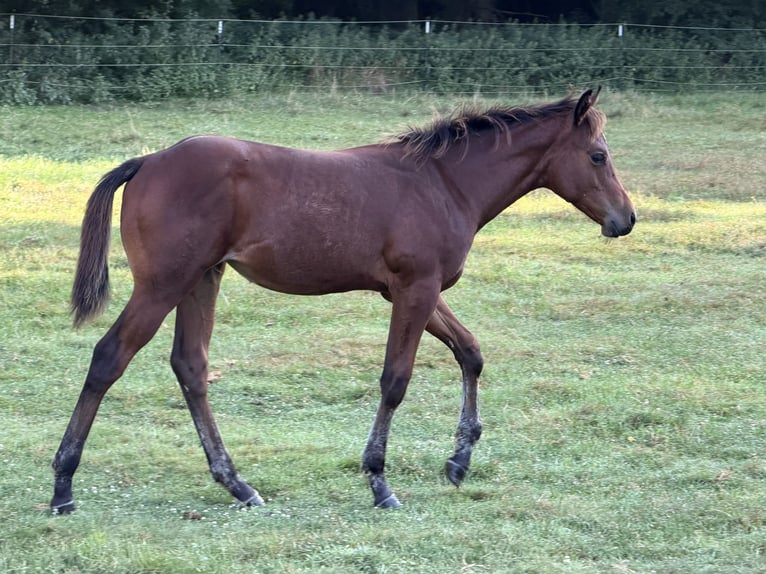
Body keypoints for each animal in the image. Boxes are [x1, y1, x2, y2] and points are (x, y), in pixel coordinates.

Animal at [50, 88, 635, 513]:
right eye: (598, 155)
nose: (625, 219)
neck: (443, 182)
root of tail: (148, 161)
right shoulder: (415, 290)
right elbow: (395, 381)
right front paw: (379, 482)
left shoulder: (415, 290)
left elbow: (470, 352)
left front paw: (459, 460)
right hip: (163, 284)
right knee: (109, 358)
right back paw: (63, 486)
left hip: (202, 279)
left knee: (190, 366)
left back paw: (237, 484)